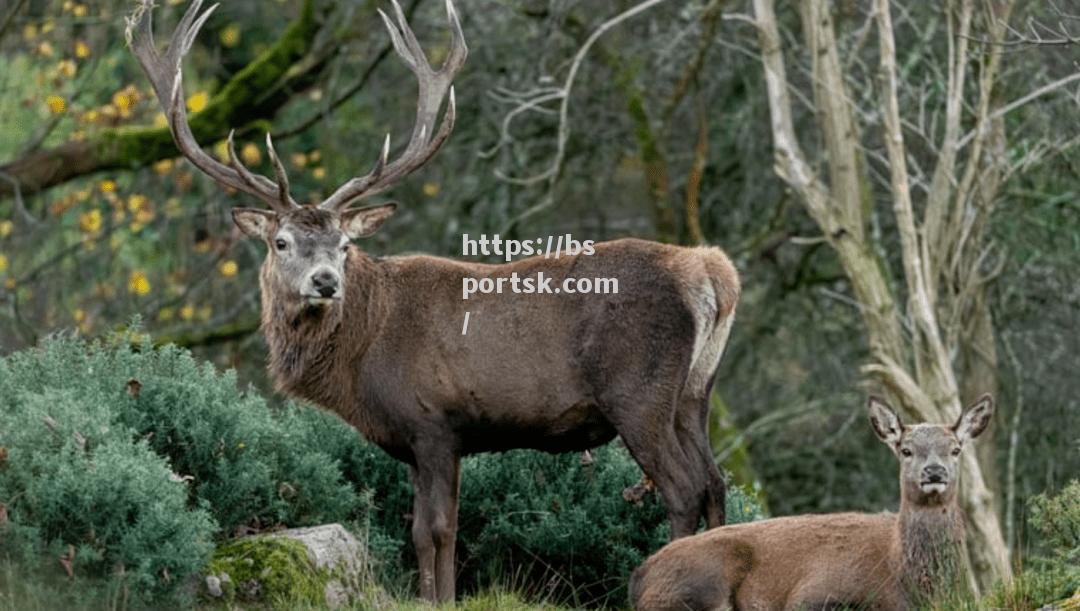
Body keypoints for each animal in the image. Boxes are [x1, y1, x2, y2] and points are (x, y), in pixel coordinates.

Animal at [124, 0, 734, 604]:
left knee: (683, 487)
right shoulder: (438, 440)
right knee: (714, 481)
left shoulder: (432, 421)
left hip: (638, 390)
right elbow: (445, 528)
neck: (362, 353)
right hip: (694, 393)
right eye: (282, 242)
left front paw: (435, 596)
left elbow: (430, 530)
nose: (325, 282)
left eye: (344, 244)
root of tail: (710, 272)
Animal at [630, 395, 993, 608]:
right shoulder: (813, 592)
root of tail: (640, 575)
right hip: (699, 584)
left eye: (955, 449)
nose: (934, 471)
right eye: (906, 450)